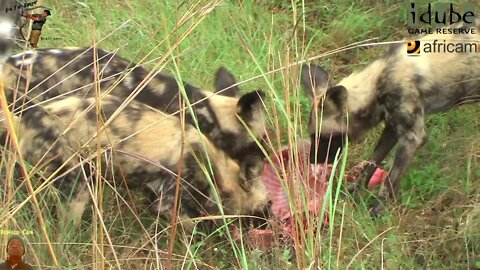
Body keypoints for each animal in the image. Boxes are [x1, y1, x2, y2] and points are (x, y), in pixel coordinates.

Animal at [0, 94, 270, 229]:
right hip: (78, 184)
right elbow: (191, 226)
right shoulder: (169, 201)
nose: (268, 226)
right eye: (266, 206)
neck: (216, 166)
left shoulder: (154, 192)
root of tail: (22, 121)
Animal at [302, 22, 478, 215]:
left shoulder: (412, 139)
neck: (380, 81)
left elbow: (388, 183)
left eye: (323, 136)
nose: (312, 160)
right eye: (311, 135)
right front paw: (353, 191)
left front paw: (374, 213)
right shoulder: (392, 130)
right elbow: (371, 164)